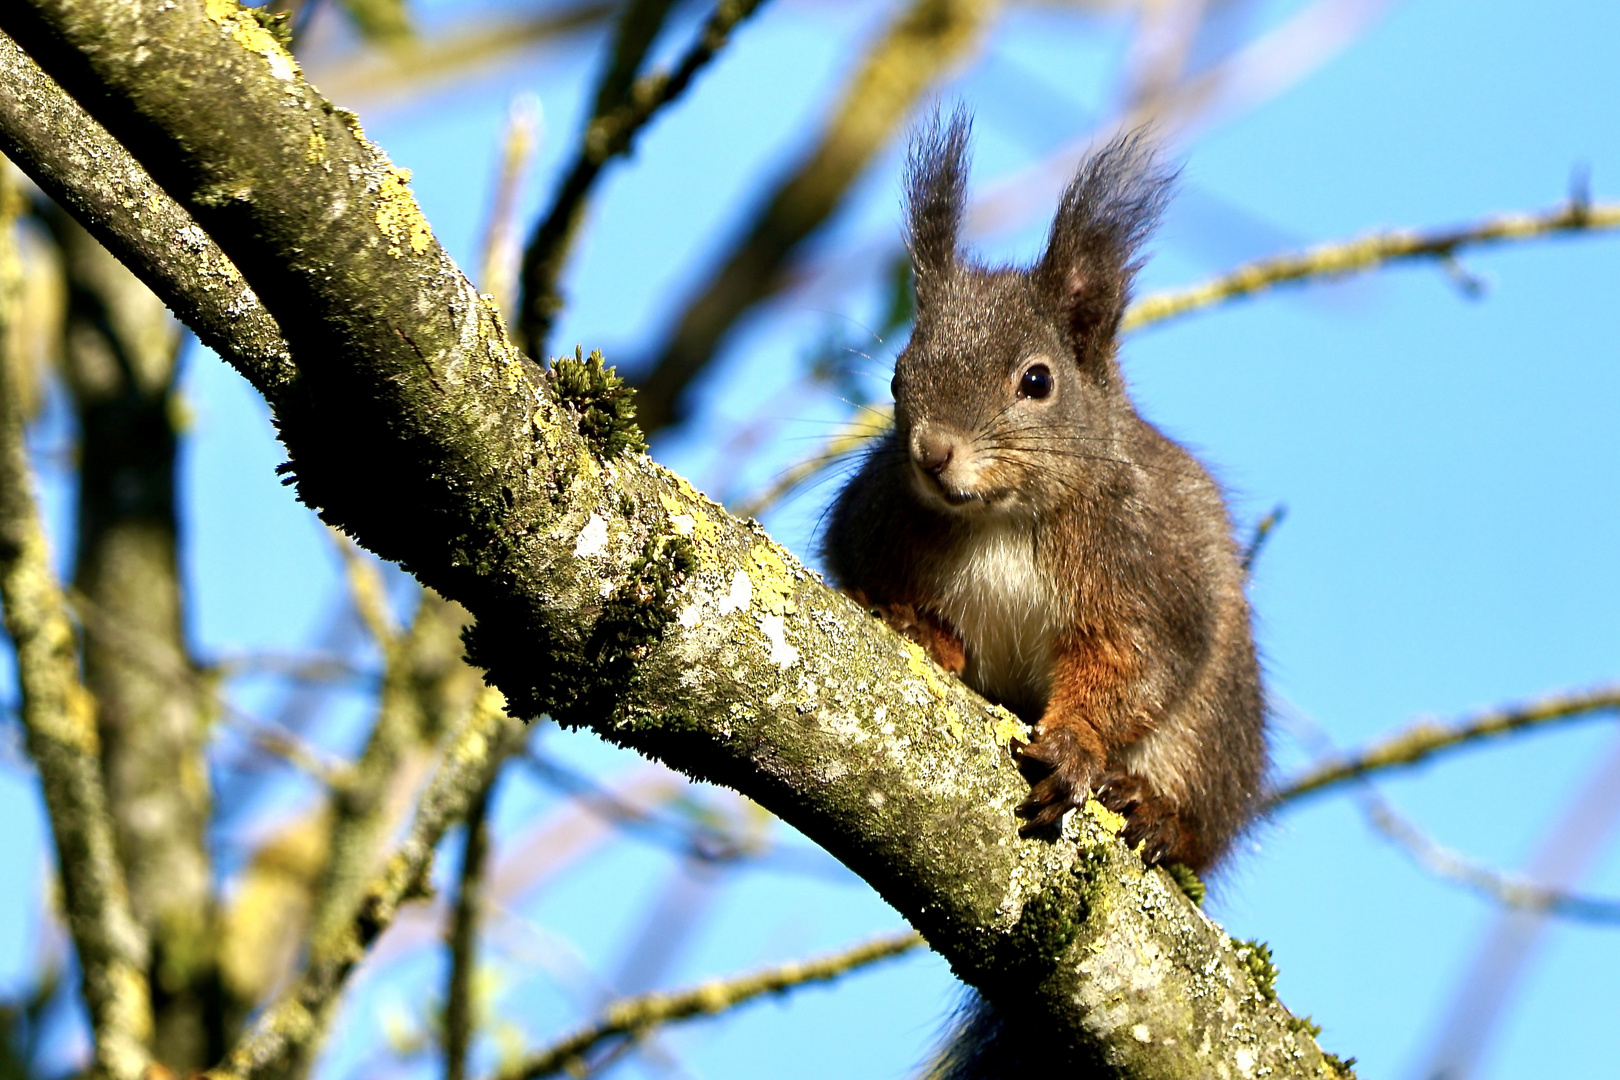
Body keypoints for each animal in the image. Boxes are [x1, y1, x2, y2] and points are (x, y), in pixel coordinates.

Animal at [822, 111, 1263, 880]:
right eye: (899, 376)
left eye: (1037, 381)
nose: (933, 453)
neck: (1000, 519)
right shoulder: (866, 523)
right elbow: (858, 573)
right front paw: (918, 625)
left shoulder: (1147, 570)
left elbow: (1135, 666)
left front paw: (1076, 741)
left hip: (1216, 730)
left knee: (1200, 811)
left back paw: (1158, 811)